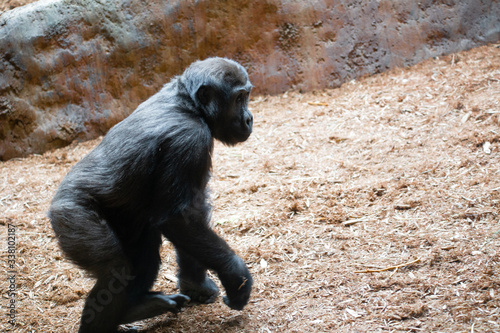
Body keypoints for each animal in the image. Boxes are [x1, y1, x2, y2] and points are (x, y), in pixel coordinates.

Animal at [47, 57, 254, 332]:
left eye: (247, 96)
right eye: (239, 98)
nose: (249, 118)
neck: (190, 105)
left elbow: (192, 215)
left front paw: (195, 284)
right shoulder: (189, 140)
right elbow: (181, 219)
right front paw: (235, 275)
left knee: (143, 253)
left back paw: (136, 308)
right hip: (72, 215)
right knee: (114, 272)